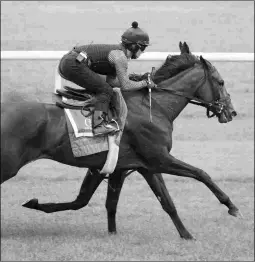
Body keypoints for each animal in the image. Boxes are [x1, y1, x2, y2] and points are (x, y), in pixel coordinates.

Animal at [1, 42, 239, 239]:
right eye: (221, 82)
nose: (231, 112)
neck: (154, 107)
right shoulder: (159, 159)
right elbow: (201, 173)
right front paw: (231, 206)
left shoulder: (126, 166)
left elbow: (98, 202)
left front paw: (185, 235)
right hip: (9, 165)